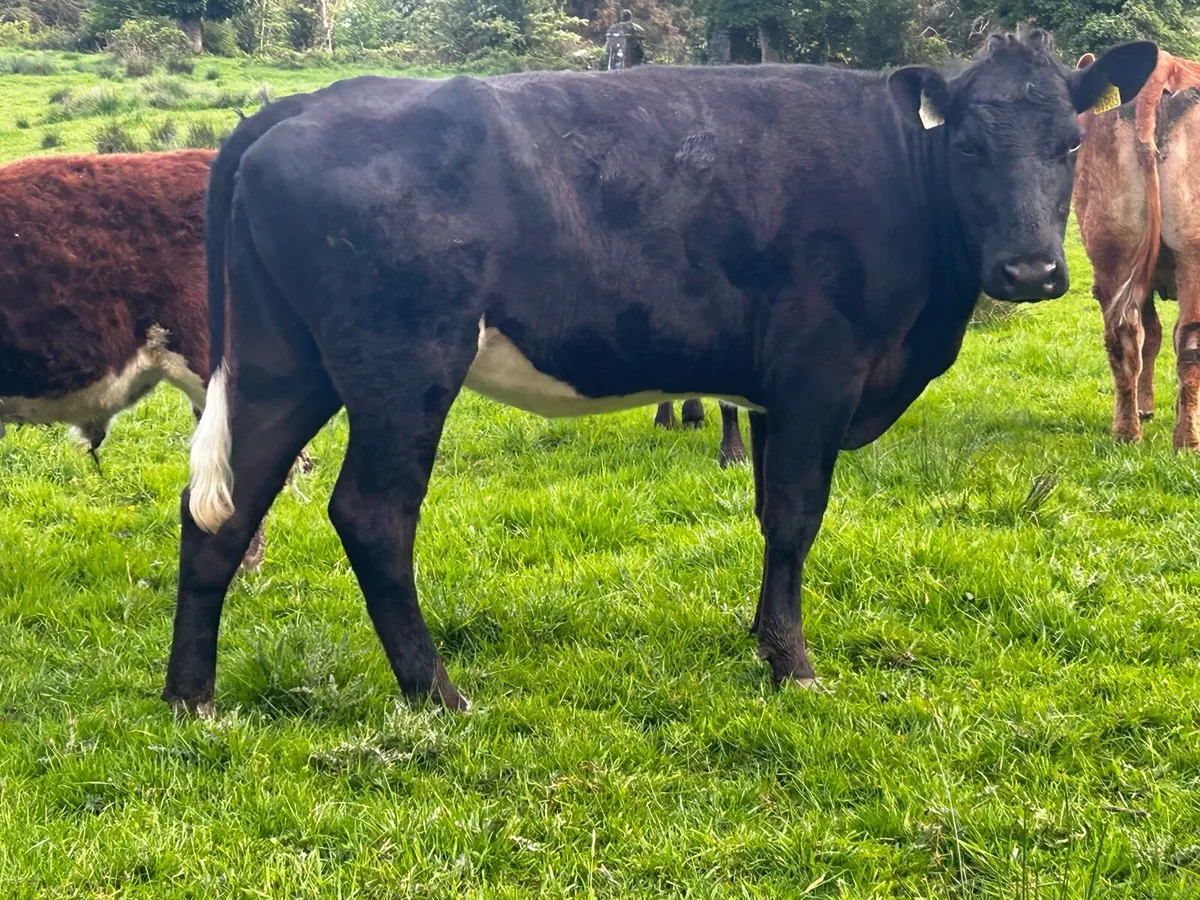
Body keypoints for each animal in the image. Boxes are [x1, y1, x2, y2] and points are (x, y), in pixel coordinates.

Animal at [164, 31, 1157, 716]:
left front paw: (763, 639)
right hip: (403, 364)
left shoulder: (773, 392)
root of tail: (304, 104)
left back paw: (192, 699)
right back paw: (438, 693)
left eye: (1070, 144)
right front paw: (795, 667)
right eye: (969, 148)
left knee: (225, 508)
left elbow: (766, 512)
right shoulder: (819, 374)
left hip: (284, 363)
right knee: (371, 514)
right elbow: (796, 516)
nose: (1029, 271)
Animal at [1074, 49, 1200, 450]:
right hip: (1192, 253)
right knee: (1188, 341)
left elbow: (1152, 336)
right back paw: (1187, 440)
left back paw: (1128, 430)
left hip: (1113, 250)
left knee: (1125, 339)